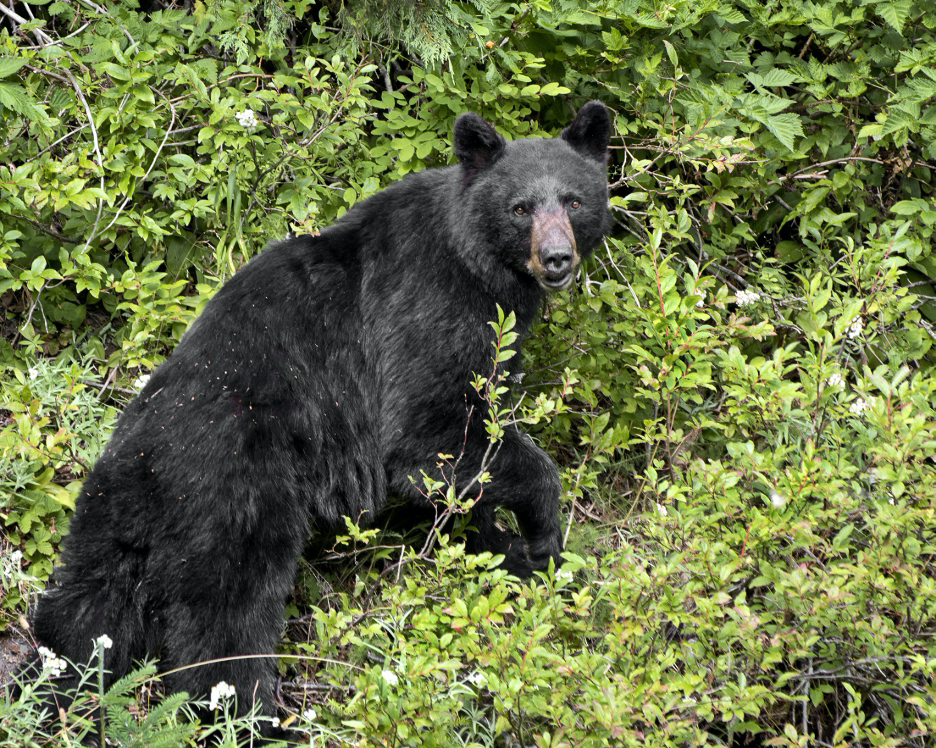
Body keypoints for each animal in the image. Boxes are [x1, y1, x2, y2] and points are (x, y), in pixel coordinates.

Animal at [23, 102, 616, 720]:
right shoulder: (429, 306)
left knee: (84, 607)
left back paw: (54, 685)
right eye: (520, 207)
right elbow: (430, 434)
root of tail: (149, 457)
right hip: (236, 491)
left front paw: (504, 550)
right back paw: (254, 714)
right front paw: (542, 536)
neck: (477, 261)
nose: (556, 259)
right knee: (227, 612)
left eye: (574, 200)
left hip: (111, 514)